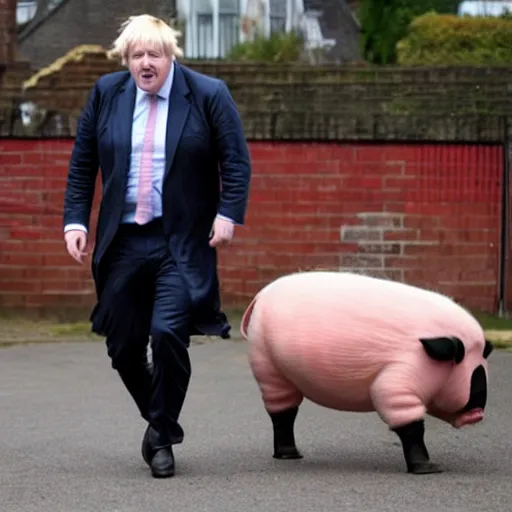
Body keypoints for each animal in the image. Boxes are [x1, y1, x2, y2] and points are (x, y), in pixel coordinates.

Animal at [242, 270, 494, 474]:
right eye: (475, 373)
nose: (477, 414)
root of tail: (261, 295)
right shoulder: (397, 383)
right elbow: (410, 424)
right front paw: (430, 470)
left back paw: (293, 455)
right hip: (266, 364)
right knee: (282, 412)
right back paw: (289, 455)